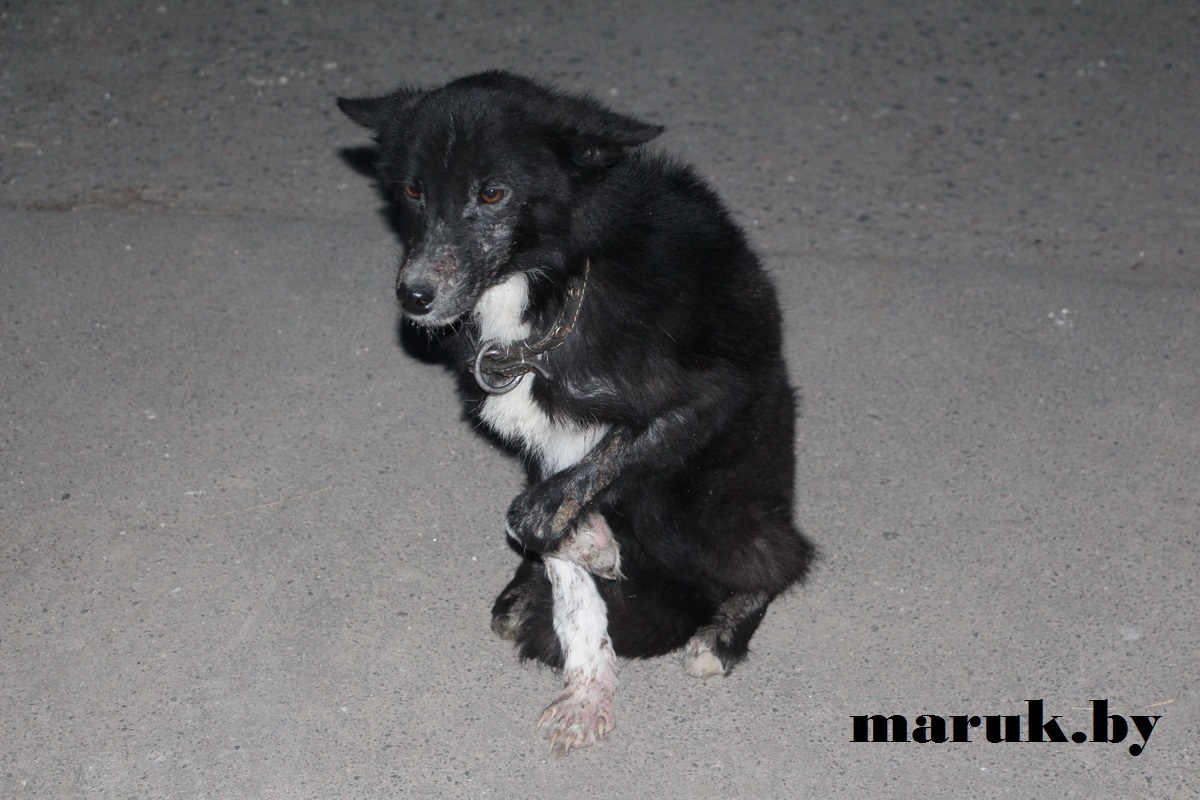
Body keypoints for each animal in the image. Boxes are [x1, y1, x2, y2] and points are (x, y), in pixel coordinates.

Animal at [338, 71, 815, 753]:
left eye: (493, 192)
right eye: (412, 190)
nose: (414, 296)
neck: (556, 286)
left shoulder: (709, 396)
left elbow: (551, 501)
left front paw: (592, 563)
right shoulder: (543, 441)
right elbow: (557, 548)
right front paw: (587, 677)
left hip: (701, 501)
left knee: (779, 558)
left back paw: (720, 632)